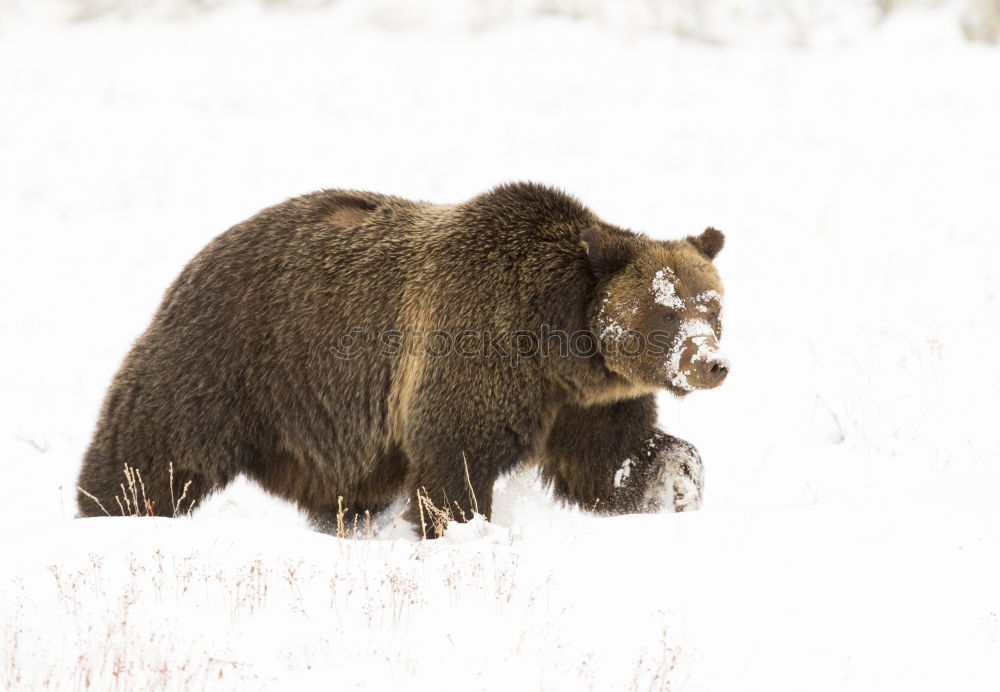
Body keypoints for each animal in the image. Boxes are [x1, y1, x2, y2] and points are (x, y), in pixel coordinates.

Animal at [76, 182, 728, 528]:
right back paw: (110, 511)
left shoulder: (585, 401)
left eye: (713, 306)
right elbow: (456, 457)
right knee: (153, 449)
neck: (556, 346)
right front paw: (460, 528)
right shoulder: (477, 346)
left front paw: (677, 484)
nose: (711, 364)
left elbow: (612, 459)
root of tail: (206, 249)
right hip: (234, 353)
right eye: (667, 311)